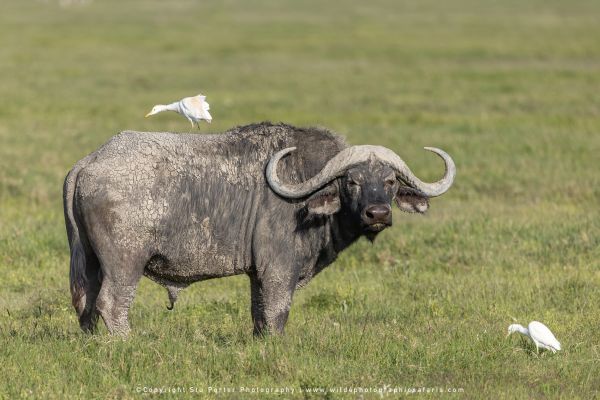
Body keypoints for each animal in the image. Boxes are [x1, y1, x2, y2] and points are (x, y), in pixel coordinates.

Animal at [63, 122, 454, 334]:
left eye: (389, 181)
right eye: (352, 181)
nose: (377, 213)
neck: (303, 184)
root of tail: (91, 161)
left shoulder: (257, 275)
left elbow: (259, 316)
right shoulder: (279, 271)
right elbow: (277, 314)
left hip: (90, 262)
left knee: (86, 303)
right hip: (124, 265)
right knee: (112, 304)